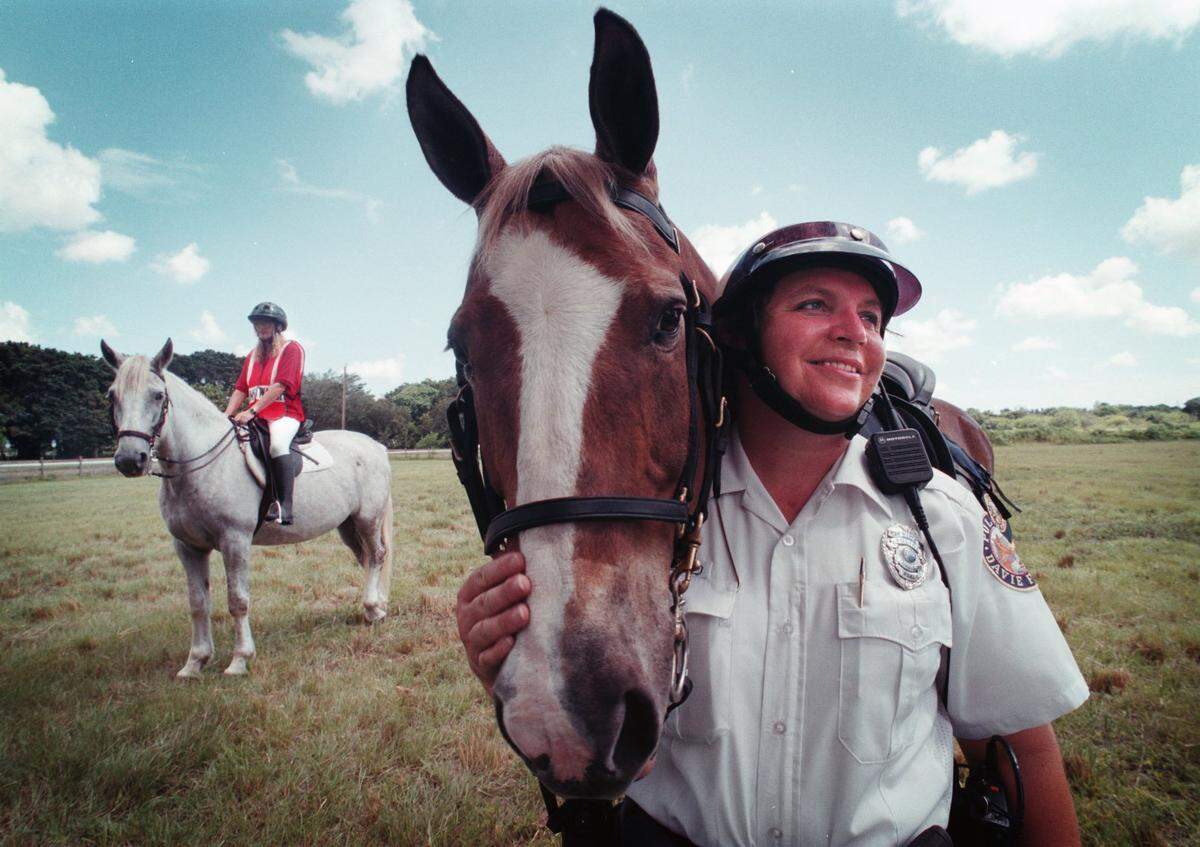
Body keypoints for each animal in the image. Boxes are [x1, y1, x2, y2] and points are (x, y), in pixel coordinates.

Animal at [101, 338, 395, 678]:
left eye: (158, 395)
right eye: (112, 395)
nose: (129, 459)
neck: (202, 465)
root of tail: (374, 446)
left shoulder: (235, 541)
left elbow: (237, 600)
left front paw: (240, 660)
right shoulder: (187, 547)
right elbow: (198, 603)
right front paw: (195, 662)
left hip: (367, 519)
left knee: (377, 555)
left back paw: (374, 608)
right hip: (347, 525)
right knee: (366, 559)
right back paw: (375, 607)